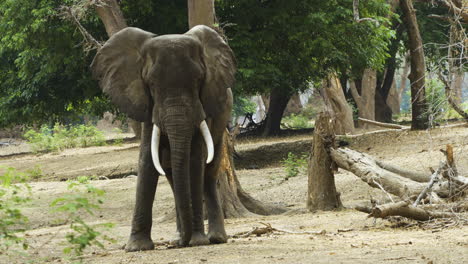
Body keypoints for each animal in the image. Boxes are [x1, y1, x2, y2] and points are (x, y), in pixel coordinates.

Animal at [91, 25, 236, 252]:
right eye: (151, 83)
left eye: (198, 80)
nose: (185, 242)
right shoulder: (147, 106)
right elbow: (147, 162)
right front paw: (137, 247)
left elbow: (195, 161)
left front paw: (197, 241)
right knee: (172, 176)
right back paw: (179, 237)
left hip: (222, 120)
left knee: (208, 173)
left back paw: (214, 238)